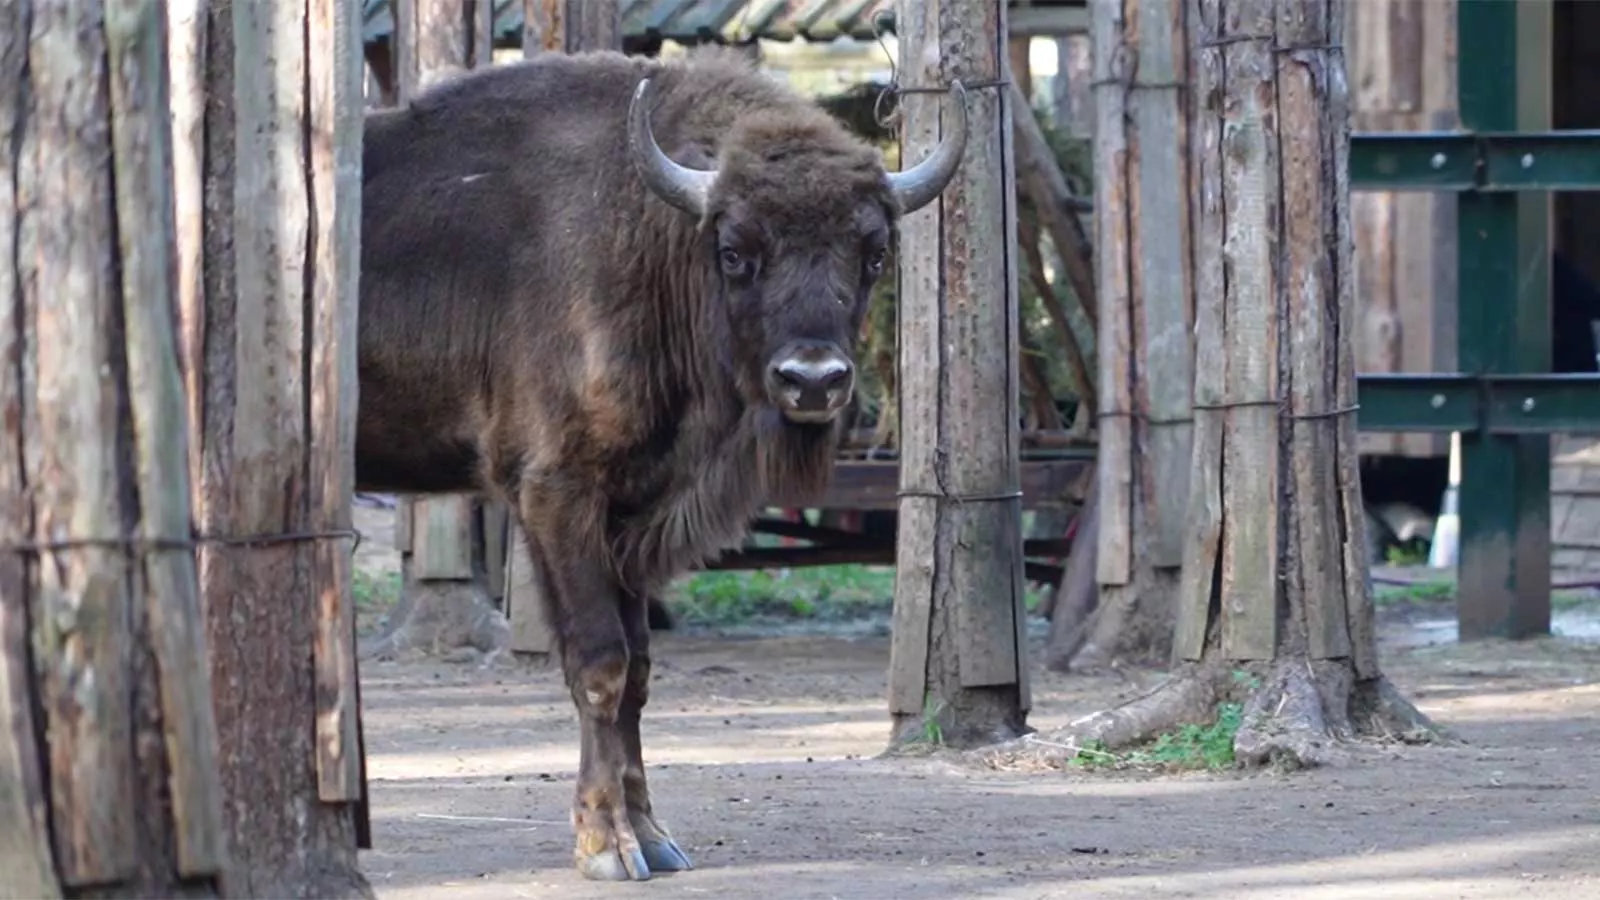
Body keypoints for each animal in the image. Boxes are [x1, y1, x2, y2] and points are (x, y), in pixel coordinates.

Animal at [356, 47, 966, 877]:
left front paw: (654, 839)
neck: (652, 233)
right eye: (736, 252)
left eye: (872, 253)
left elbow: (640, 673)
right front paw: (605, 848)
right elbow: (600, 665)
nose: (812, 381)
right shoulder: (557, 496)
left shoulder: (632, 514)